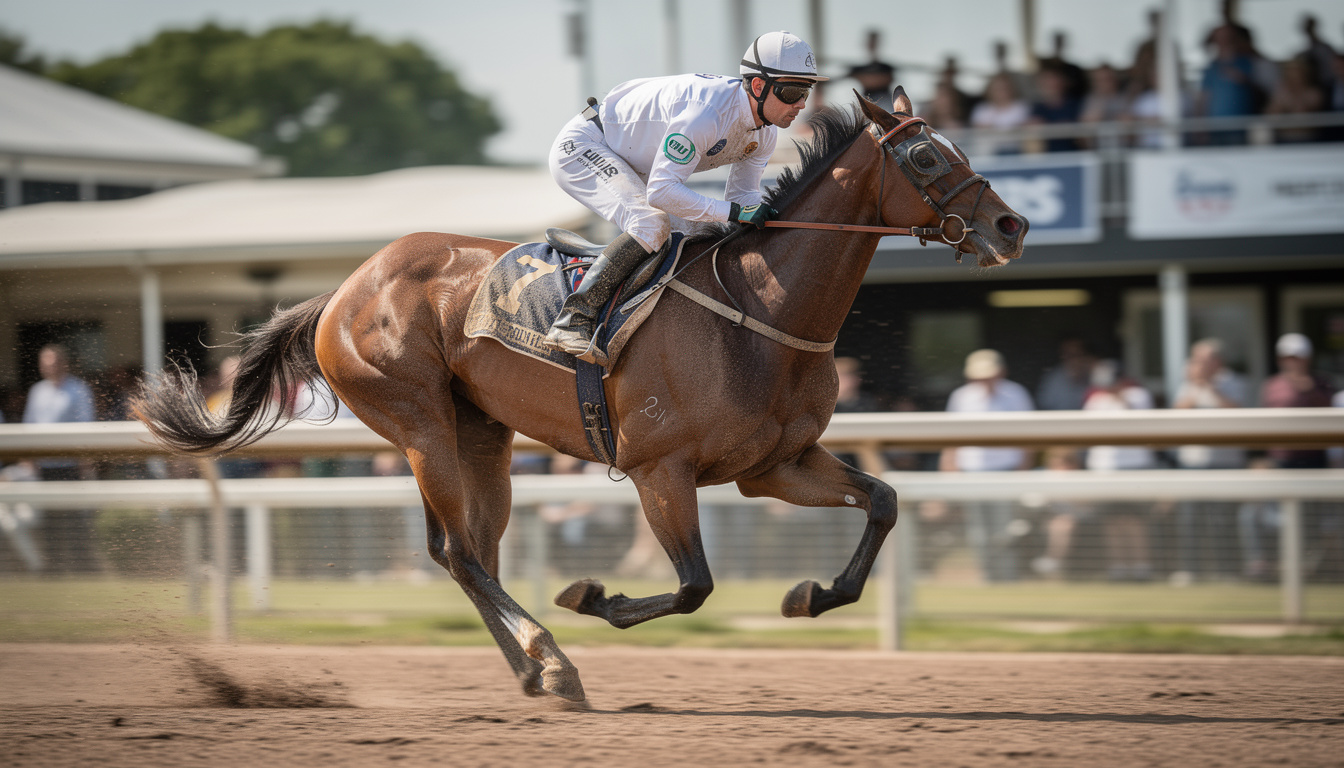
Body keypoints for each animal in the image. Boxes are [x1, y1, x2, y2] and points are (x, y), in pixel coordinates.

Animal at [135, 90, 1028, 703]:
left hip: (481, 434)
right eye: (926, 159)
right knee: (461, 552)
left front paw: (810, 594)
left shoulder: (776, 464)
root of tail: (342, 290)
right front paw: (592, 595)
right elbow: (695, 584)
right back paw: (552, 660)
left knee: (468, 552)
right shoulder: (661, 470)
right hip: (419, 424)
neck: (763, 310)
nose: (1011, 227)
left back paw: (538, 670)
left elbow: (883, 501)